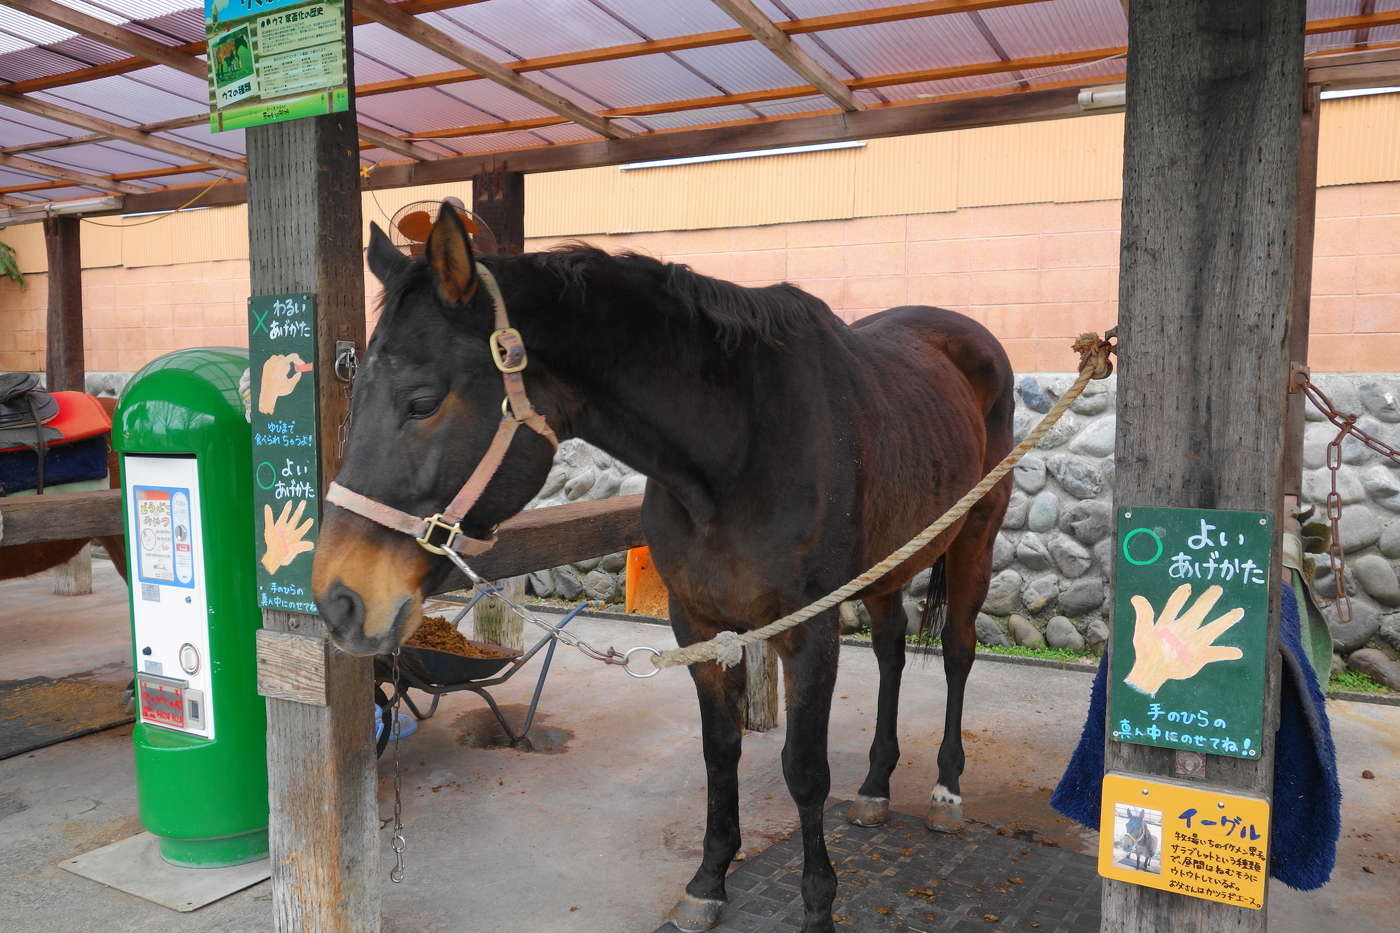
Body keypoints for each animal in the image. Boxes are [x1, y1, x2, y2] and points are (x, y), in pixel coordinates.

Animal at [312, 204, 1013, 933]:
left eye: (421, 401)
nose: (338, 599)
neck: (741, 449)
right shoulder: (698, 624)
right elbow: (720, 750)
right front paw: (708, 880)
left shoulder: (809, 629)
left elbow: (804, 769)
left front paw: (818, 903)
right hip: (888, 563)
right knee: (892, 648)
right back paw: (876, 786)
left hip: (974, 538)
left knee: (958, 652)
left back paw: (946, 791)